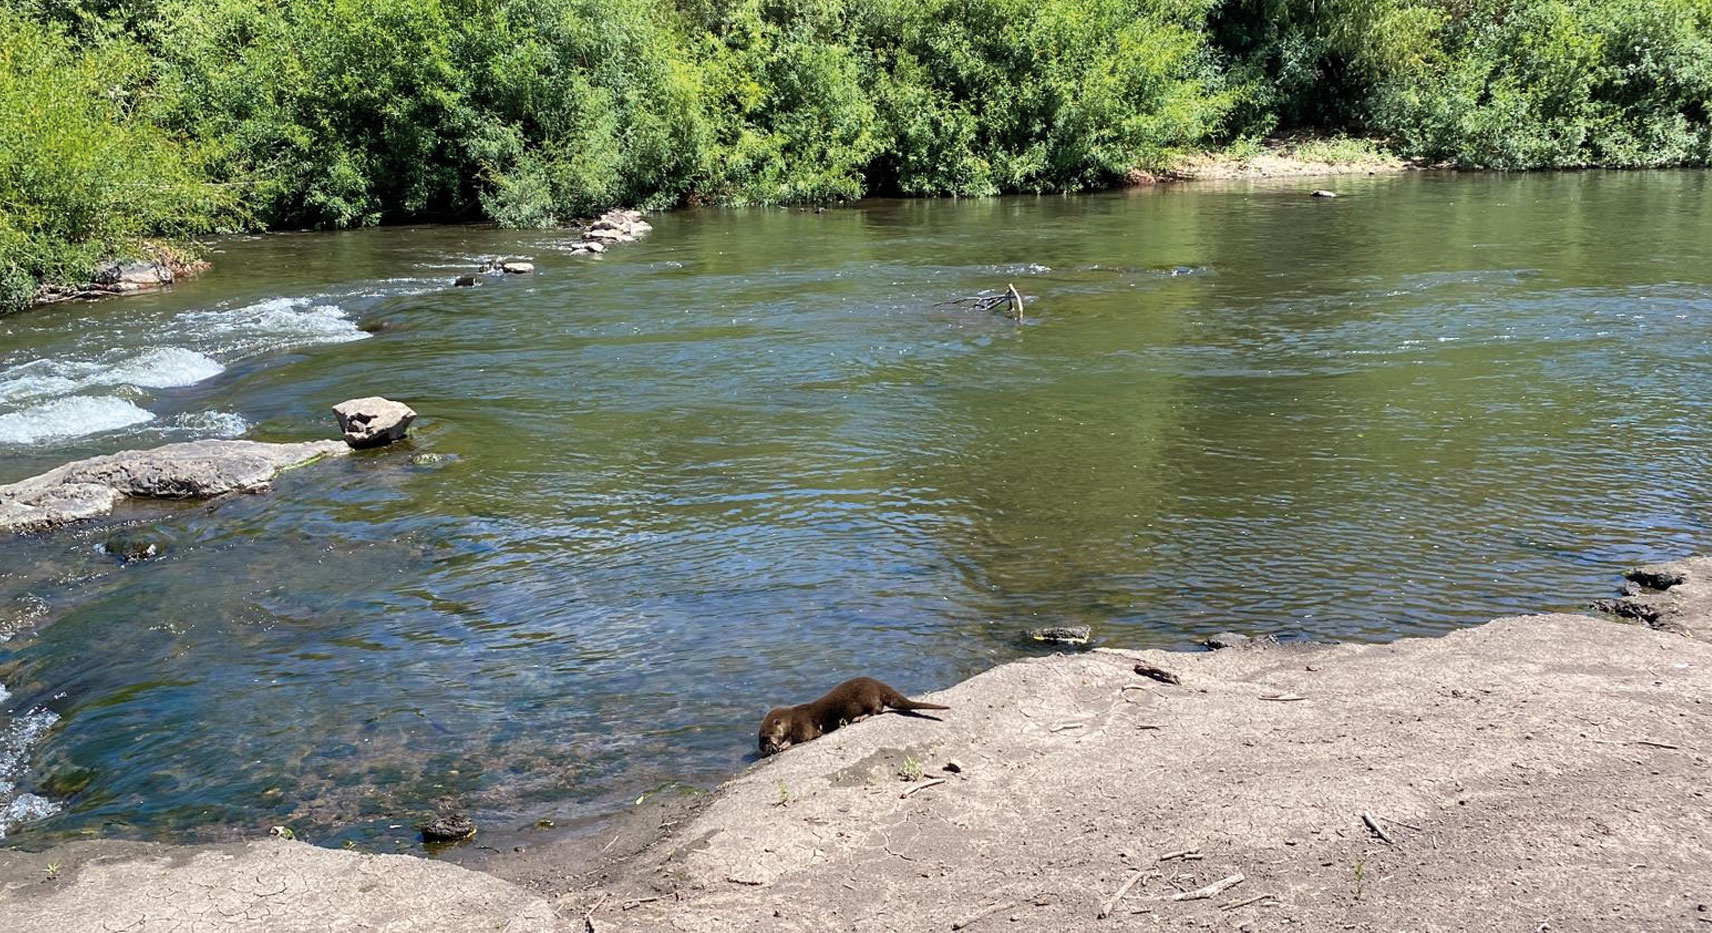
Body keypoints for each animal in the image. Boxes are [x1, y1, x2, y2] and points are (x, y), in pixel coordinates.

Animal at [763, 677, 951, 756]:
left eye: (764, 737)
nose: (761, 748)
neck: (792, 718)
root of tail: (878, 684)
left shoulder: (803, 724)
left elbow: (804, 736)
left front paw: (784, 744)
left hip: (867, 696)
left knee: (877, 708)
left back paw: (860, 717)